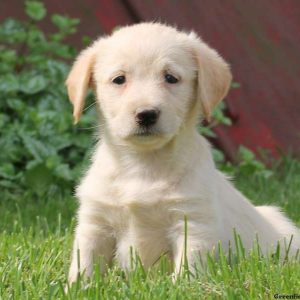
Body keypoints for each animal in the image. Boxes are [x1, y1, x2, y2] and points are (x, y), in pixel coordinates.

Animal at [66, 22, 300, 282]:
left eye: (171, 78)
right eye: (119, 79)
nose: (146, 114)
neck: (144, 164)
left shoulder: (192, 223)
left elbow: (188, 269)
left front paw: (180, 286)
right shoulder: (95, 224)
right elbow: (84, 264)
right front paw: (76, 286)